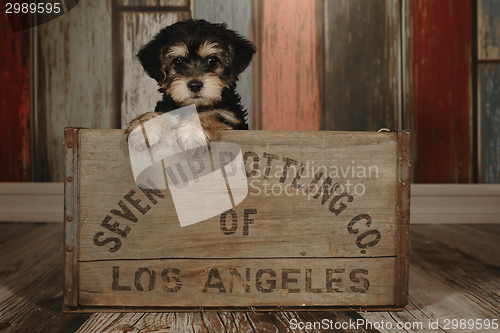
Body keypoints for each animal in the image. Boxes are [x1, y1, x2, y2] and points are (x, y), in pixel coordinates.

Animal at [127, 19, 256, 150]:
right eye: (177, 62)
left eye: (213, 60)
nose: (195, 85)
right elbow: (160, 113)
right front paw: (144, 129)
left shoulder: (231, 117)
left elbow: (212, 113)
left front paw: (192, 132)